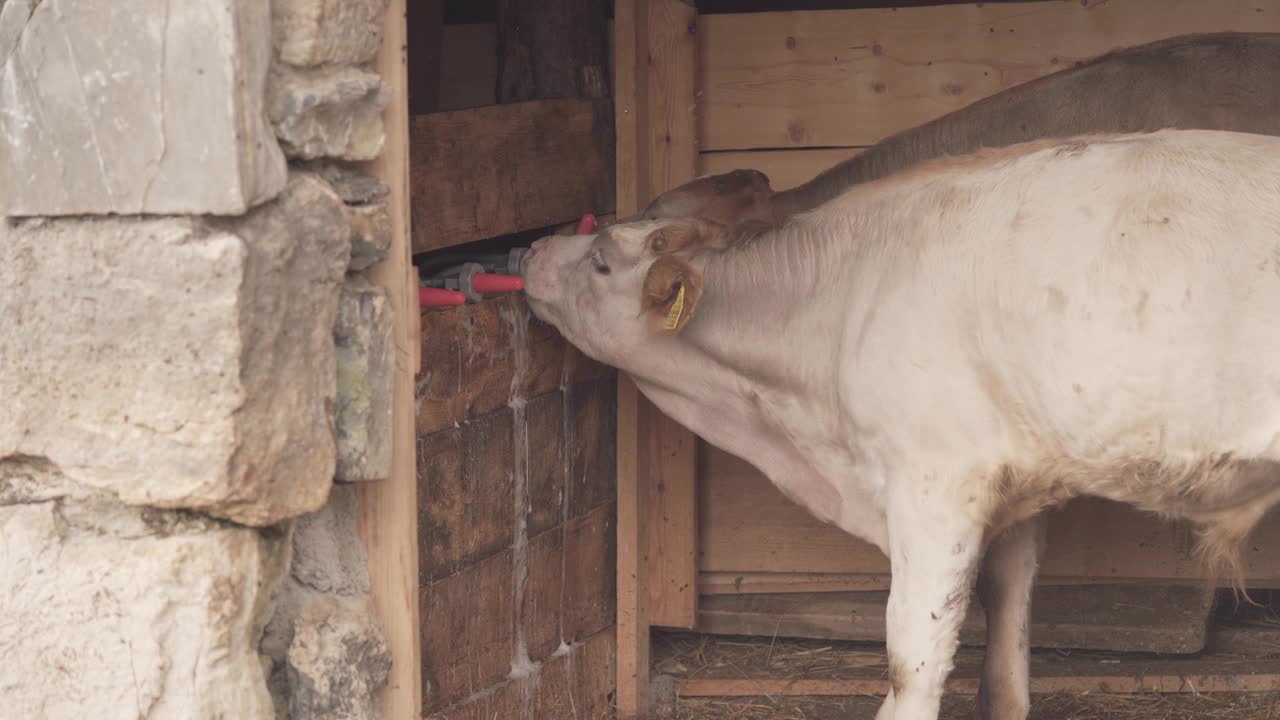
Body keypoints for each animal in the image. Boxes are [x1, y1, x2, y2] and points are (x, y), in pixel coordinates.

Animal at [524, 130, 1280, 717]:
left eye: (601, 261)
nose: (529, 251)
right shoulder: (1018, 486)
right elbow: (1008, 645)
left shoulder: (936, 483)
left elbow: (912, 662)